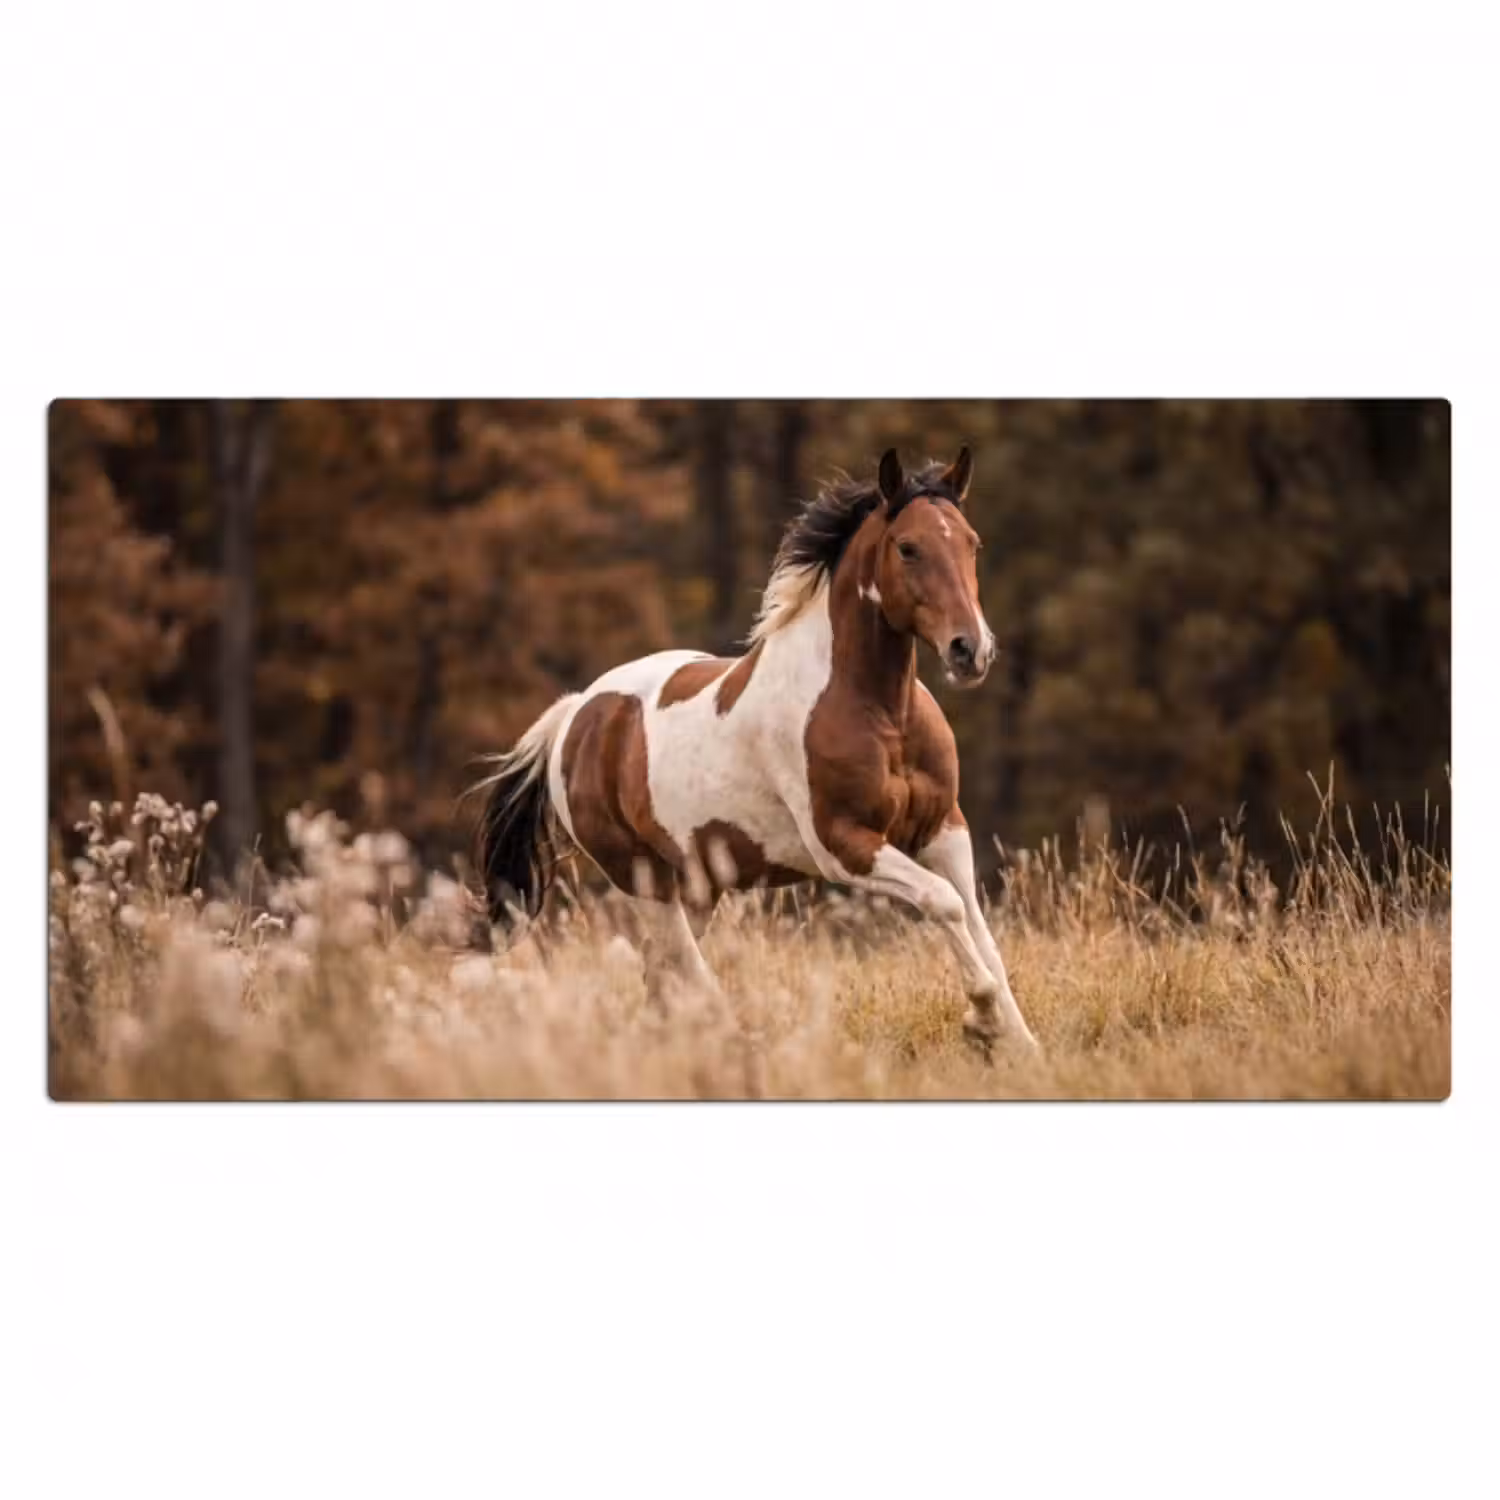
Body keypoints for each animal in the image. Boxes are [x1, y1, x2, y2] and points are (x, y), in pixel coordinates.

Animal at [474, 446, 1038, 1054]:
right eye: (908, 547)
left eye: (971, 543)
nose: (970, 650)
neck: (882, 714)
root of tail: (576, 713)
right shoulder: (844, 846)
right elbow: (944, 903)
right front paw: (981, 1020)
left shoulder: (943, 830)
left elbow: (979, 929)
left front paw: (1021, 1044)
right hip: (643, 877)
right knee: (682, 971)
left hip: (696, 885)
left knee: (661, 979)